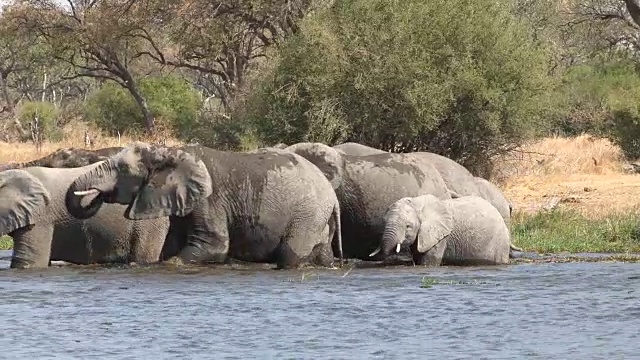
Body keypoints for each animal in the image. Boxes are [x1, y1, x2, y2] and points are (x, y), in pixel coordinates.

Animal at [66, 142, 344, 268]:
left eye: (122, 169)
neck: (169, 152)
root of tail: (332, 197)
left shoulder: (209, 200)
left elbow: (213, 246)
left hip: (307, 214)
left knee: (289, 255)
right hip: (318, 219)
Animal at [372, 194, 512, 268]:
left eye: (408, 226)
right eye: (384, 222)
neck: (417, 204)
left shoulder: (439, 236)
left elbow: (430, 260)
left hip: (499, 242)